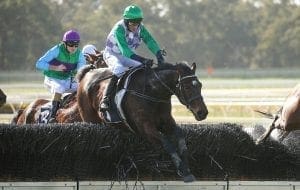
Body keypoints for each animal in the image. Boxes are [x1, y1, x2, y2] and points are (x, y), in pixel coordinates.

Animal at [77, 62, 209, 181]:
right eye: (187, 87)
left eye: (200, 85)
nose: (202, 112)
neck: (152, 92)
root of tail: (86, 75)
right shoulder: (145, 127)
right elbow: (166, 142)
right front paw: (182, 169)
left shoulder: (167, 121)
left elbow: (181, 138)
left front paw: (187, 168)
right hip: (90, 119)